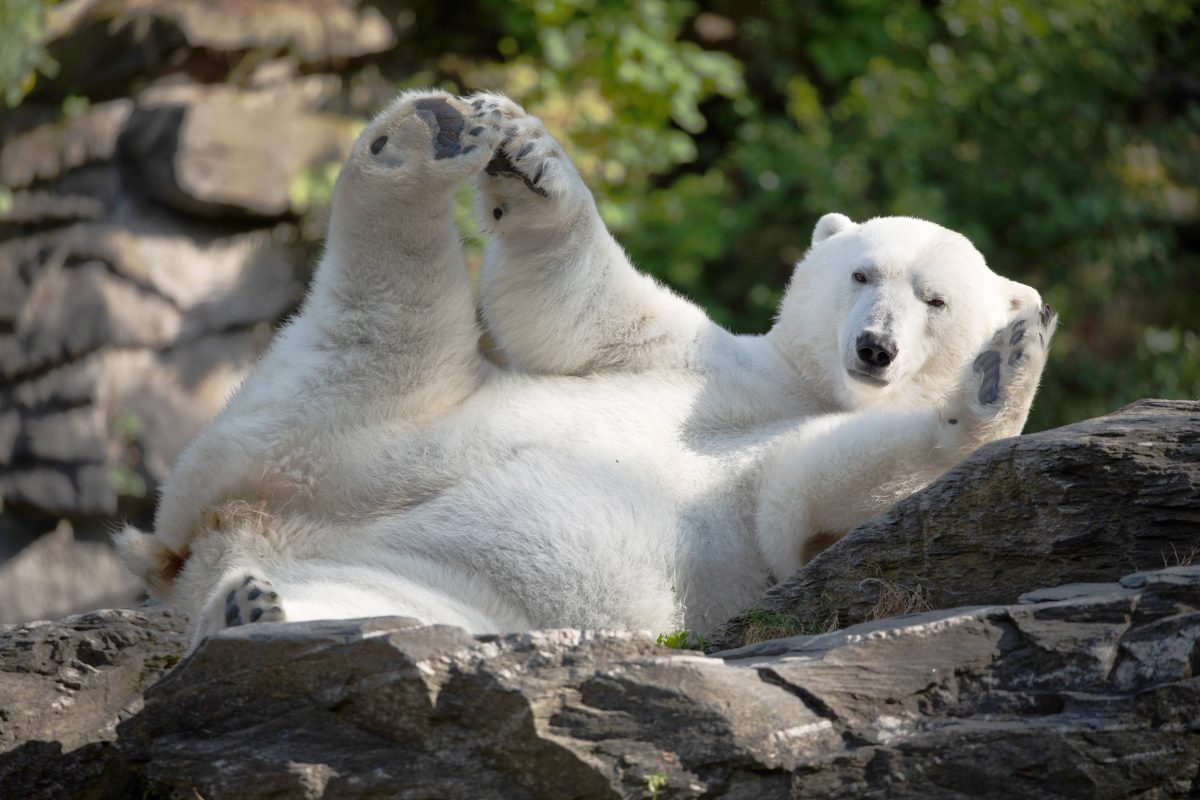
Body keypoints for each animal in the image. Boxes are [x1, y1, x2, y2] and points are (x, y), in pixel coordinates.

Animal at [114, 90, 1060, 652]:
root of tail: (210, 533)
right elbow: (578, 312)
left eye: (935, 300)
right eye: (863, 273)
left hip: (412, 539)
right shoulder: (707, 360)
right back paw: (423, 140)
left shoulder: (777, 500)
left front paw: (1002, 374)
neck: (808, 387)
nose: (874, 349)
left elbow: (808, 495)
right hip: (347, 420)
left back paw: (252, 614)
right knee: (383, 320)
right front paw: (530, 158)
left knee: (370, 600)